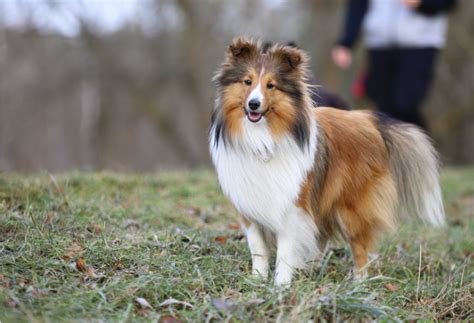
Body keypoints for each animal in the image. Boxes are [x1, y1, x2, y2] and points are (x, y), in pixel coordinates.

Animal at [208, 38, 444, 286]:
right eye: (247, 81)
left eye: (271, 85)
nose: (253, 104)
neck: (263, 139)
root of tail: (368, 119)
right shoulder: (249, 206)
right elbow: (258, 248)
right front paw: (257, 280)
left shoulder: (292, 204)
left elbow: (285, 249)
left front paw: (281, 285)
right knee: (322, 236)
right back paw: (311, 269)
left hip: (351, 208)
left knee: (360, 246)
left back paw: (358, 283)